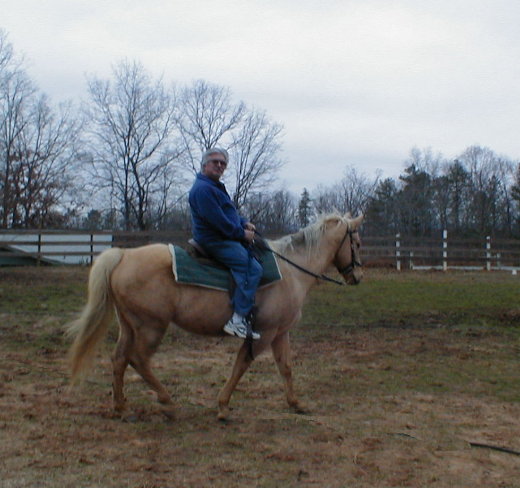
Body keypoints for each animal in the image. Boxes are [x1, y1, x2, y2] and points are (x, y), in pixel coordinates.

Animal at [68, 213, 362, 420]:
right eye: (357, 243)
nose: (357, 276)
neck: (292, 270)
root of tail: (124, 255)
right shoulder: (264, 333)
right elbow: (242, 364)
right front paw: (222, 406)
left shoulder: (280, 332)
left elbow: (286, 367)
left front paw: (296, 403)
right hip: (151, 327)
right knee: (138, 360)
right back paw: (168, 403)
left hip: (129, 326)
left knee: (119, 359)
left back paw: (120, 407)